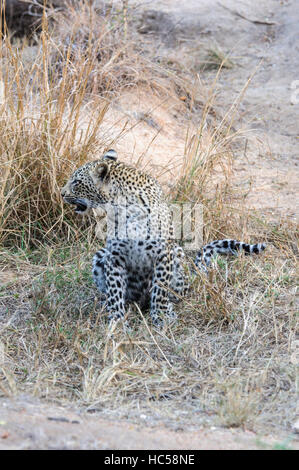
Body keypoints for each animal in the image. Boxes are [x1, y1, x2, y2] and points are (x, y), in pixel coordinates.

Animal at [61, 151, 268, 326]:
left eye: (76, 182)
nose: (61, 193)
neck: (120, 207)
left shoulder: (163, 254)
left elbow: (160, 289)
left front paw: (161, 316)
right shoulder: (114, 256)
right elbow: (115, 290)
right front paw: (117, 320)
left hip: (177, 257)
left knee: (174, 294)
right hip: (100, 255)